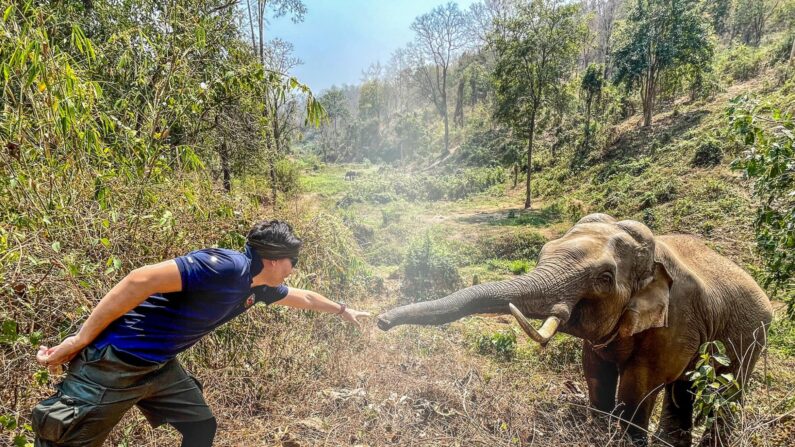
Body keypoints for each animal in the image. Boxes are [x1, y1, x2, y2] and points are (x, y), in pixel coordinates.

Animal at [376, 215, 776, 446]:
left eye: (605, 278)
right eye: (543, 252)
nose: (380, 321)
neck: (653, 256)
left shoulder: (676, 319)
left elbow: (640, 384)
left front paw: (626, 439)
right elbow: (595, 372)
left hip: (752, 335)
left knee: (727, 392)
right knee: (684, 389)